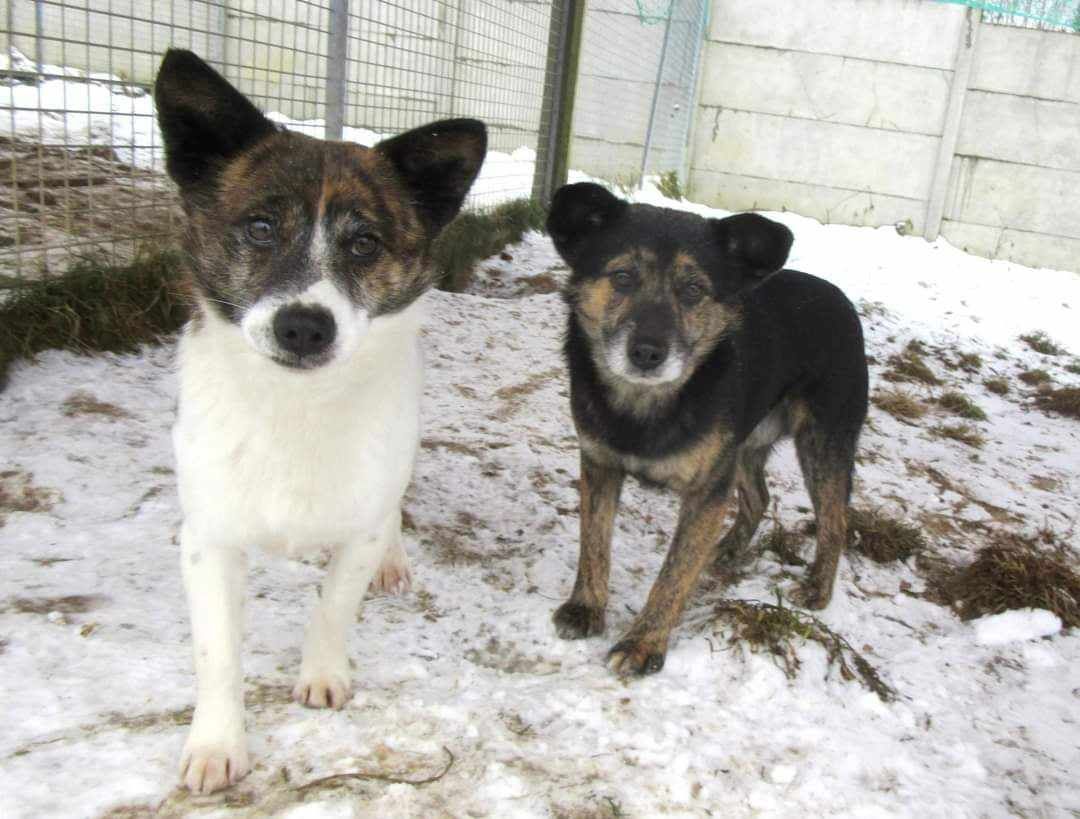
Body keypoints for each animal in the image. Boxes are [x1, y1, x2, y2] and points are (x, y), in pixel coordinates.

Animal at [153, 49, 486, 795]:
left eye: (363, 244)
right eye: (259, 228)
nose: (304, 326)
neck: (296, 409)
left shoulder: (359, 523)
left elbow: (334, 603)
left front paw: (323, 674)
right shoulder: (208, 538)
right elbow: (218, 652)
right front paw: (217, 743)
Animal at [548, 185, 868, 678]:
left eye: (693, 290)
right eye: (622, 277)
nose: (647, 353)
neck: (647, 404)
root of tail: (838, 295)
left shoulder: (706, 492)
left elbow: (674, 572)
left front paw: (643, 643)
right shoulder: (599, 465)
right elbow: (594, 543)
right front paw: (586, 608)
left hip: (822, 442)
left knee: (836, 519)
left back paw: (817, 588)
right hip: (742, 446)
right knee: (759, 498)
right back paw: (727, 550)